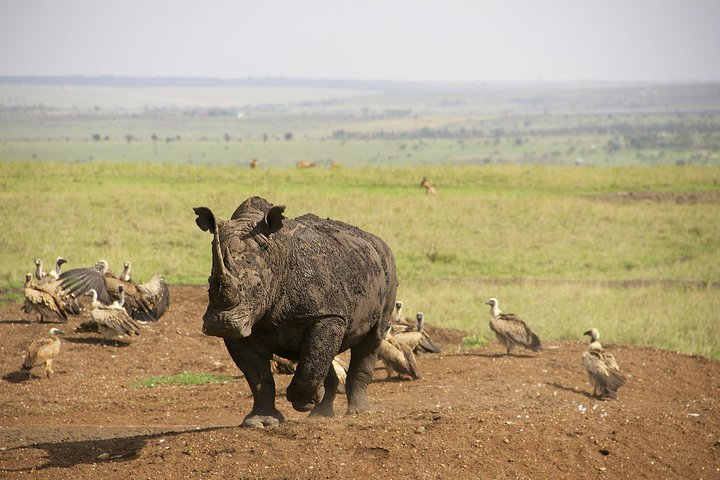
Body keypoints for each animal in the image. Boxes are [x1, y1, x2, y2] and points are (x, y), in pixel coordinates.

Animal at [193, 196, 398, 428]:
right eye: (210, 283)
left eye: (258, 286)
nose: (222, 323)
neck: (276, 254)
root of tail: (376, 241)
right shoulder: (244, 326)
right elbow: (258, 376)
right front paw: (259, 422)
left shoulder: (327, 314)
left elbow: (312, 360)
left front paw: (304, 401)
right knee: (321, 352)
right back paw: (320, 414)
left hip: (388, 268)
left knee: (372, 338)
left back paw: (359, 412)